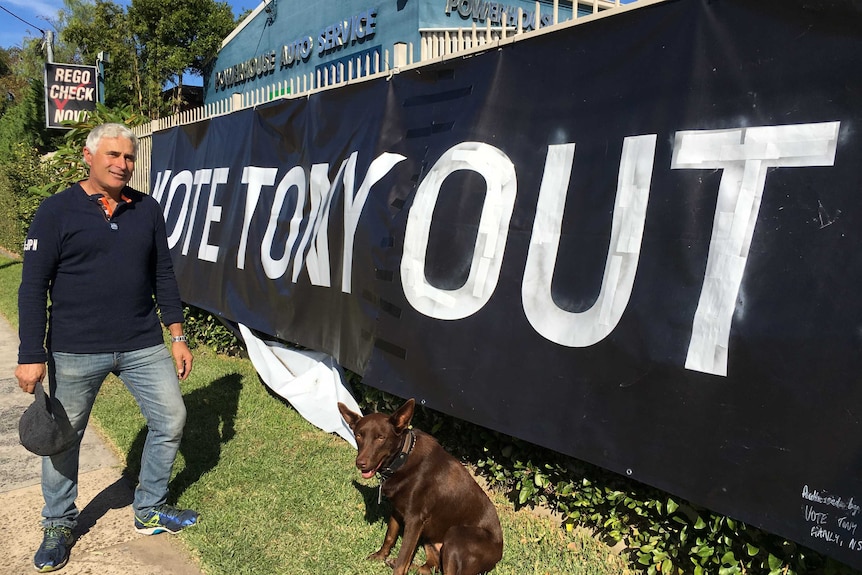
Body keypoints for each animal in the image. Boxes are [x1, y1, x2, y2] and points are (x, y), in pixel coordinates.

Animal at [340, 400, 506, 575]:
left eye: (380, 437)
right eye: (359, 435)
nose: (360, 463)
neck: (403, 458)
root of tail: (498, 554)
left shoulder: (415, 520)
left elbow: (403, 556)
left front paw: (395, 566)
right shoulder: (398, 510)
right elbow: (390, 536)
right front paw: (380, 556)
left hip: (456, 535)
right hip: (430, 538)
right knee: (431, 568)